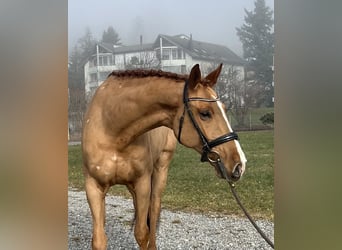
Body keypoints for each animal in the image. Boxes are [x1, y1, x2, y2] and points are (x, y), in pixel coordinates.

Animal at [81, 64, 246, 250]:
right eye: (205, 113)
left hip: (160, 170)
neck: (112, 130)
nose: (239, 164)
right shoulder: (93, 187)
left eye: (224, 109)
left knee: (153, 211)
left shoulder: (143, 184)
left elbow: (142, 233)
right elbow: (99, 240)